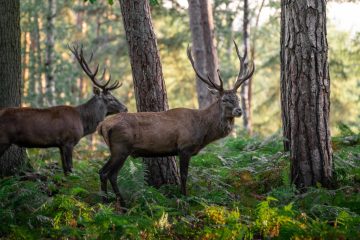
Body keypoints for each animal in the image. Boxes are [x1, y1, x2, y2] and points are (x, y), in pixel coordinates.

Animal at [0, 46, 127, 174]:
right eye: (110, 98)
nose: (125, 108)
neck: (82, 122)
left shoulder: (60, 145)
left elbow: (65, 169)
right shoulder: (68, 141)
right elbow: (70, 168)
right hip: (3, 138)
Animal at [95, 41, 253, 206]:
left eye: (237, 98)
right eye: (224, 100)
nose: (239, 111)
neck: (203, 129)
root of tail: (102, 126)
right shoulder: (184, 147)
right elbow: (184, 176)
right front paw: (184, 199)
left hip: (117, 149)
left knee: (102, 172)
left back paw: (105, 201)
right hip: (121, 147)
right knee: (108, 173)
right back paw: (119, 204)